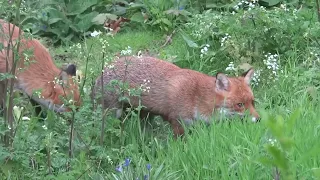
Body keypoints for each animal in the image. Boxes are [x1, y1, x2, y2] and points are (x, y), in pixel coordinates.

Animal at [93, 56, 260, 138]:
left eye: (253, 102)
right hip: (113, 114)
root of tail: (102, 71)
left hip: (144, 114)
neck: (197, 98)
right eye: (239, 105)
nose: (259, 119)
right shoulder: (177, 122)